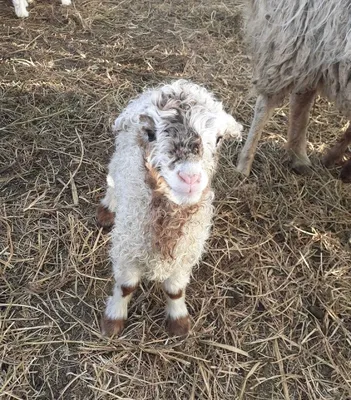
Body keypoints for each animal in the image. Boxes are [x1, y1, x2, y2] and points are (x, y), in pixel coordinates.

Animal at [97, 79, 243, 336]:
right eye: (150, 133)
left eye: (218, 139)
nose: (190, 178)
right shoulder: (128, 247)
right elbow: (126, 286)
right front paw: (113, 320)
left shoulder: (186, 254)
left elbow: (175, 290)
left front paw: (179, 322)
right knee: (113, 177)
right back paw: (108, 208)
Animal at [236, 0, 351, 181]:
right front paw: (339, 165)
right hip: (295, 36)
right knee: (267, 104)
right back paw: (244, 165)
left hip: (313, 50)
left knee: (301, 97)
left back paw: (299, 159)